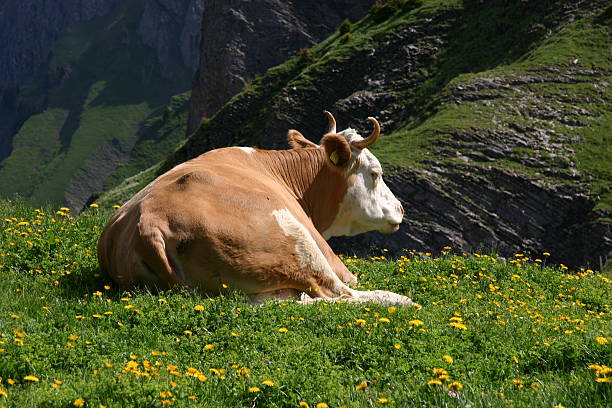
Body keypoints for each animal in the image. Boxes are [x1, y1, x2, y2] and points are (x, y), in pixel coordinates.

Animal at [97, 111, 416, 306]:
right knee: (339, 294)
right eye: (375, 173)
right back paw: (400, 300)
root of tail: (149, 224)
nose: (401, 208)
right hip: (296, 243)